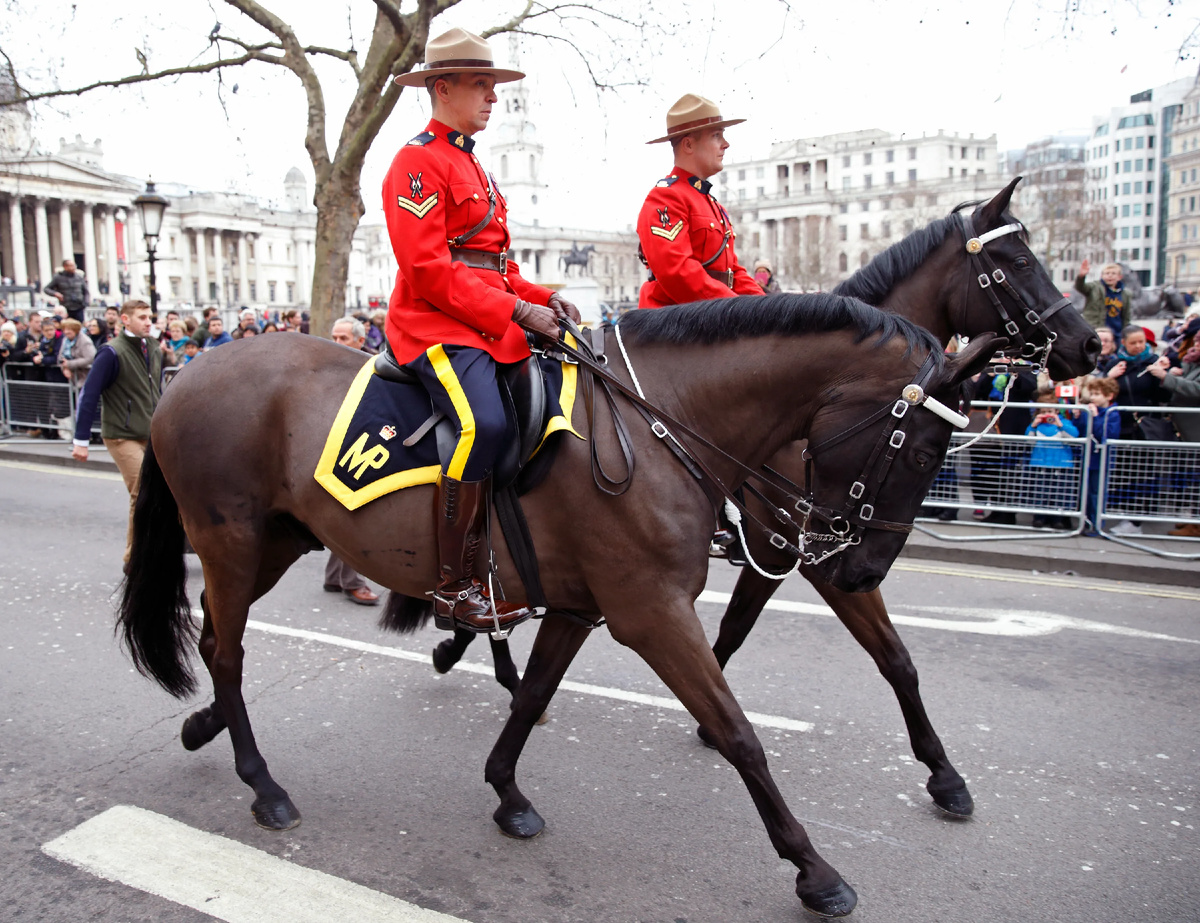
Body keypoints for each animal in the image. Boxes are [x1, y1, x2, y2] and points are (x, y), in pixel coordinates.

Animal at [121, 295, 998, 912]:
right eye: (922, 447)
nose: (861, 567)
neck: (661, 426)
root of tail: (186, 373)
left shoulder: (585, 606)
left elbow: (535, 693)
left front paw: (506, 792)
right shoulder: (652, 612)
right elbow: (739, 733)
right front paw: (814, 869)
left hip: (274, 542)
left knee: (216, 642)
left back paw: (208, 729)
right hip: (231, 538)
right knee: (227, 649)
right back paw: (263, 784)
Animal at [434, 176, 1104, 816]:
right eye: (1019, 262)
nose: (1090, 346)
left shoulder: (799, 551)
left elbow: (882, 657)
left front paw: (944, 775)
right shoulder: (799, 549)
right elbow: (764, 639)